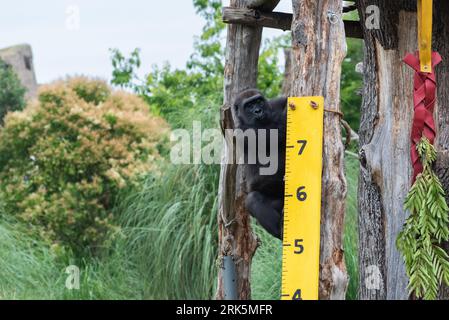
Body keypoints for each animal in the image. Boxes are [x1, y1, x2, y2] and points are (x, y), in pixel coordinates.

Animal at [231, 89, 288, 239]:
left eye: (258, 101)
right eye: (249, 106)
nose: (258, 111)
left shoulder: (274, 103)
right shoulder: (241, 132)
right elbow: (277, 130)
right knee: (252, 199)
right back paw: (279, 230)